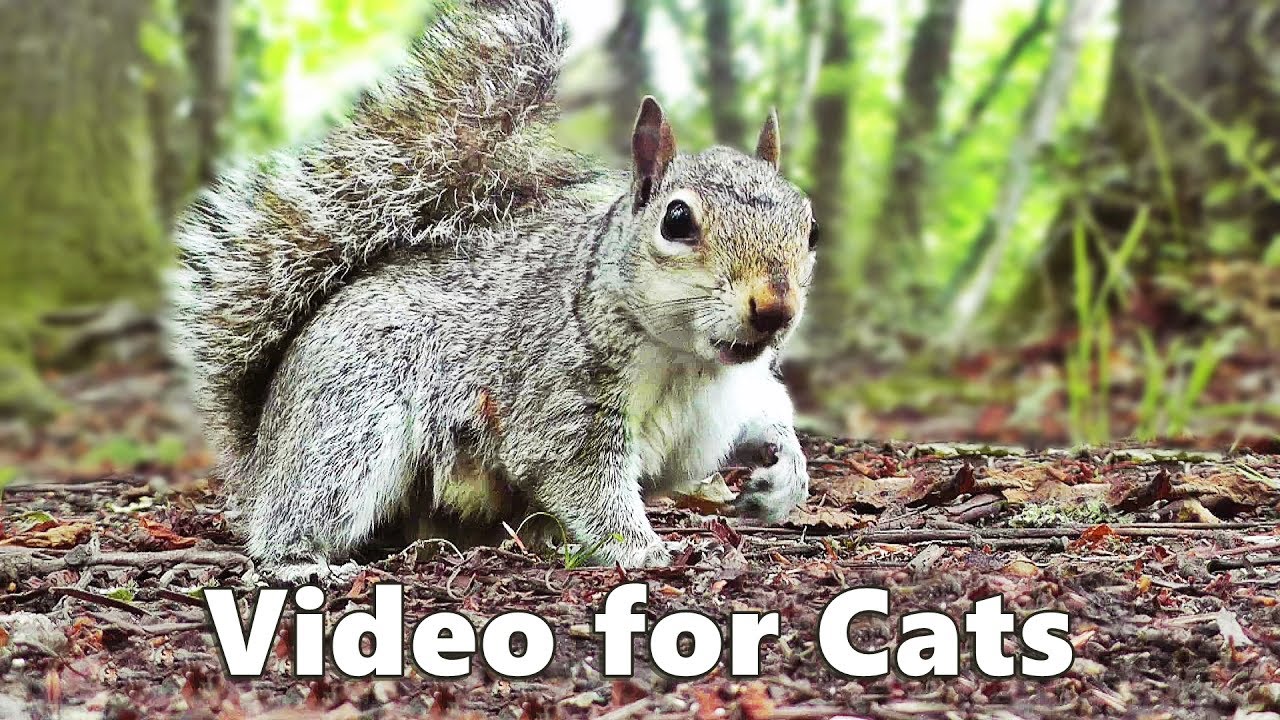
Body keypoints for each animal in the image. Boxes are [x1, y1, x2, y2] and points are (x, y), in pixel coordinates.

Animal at [166, 0, 818, 573]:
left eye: (810, 227)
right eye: (677, 220)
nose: (776, 306)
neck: (692, 362)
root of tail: (260, 453)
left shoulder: (740, 389)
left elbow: (769, 412)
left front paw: (786, 473)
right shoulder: (562, 402)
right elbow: (587, 482)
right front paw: (642, 550)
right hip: (347, 419)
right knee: (300, 508)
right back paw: (299, 560)